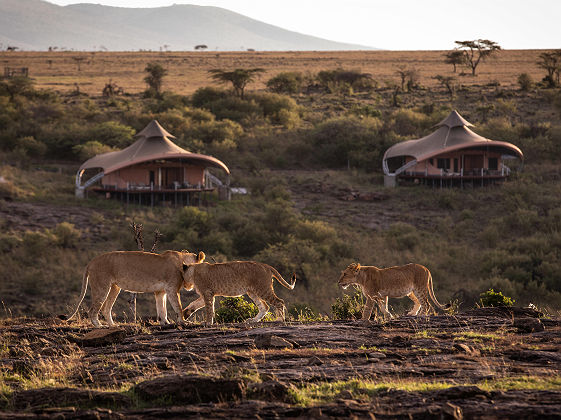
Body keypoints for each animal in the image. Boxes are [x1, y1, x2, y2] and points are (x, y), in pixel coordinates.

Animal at [66, 249, 206, 328]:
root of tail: (91, 261)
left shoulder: (160, 291)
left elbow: (162, 308)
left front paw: (165, 323)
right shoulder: (172, 289)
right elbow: (178, 307)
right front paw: (183, 322)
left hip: (114, 288)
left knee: (106, 308)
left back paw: (113, 325)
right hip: (102, 286)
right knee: (93, 309)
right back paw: (99, 326)